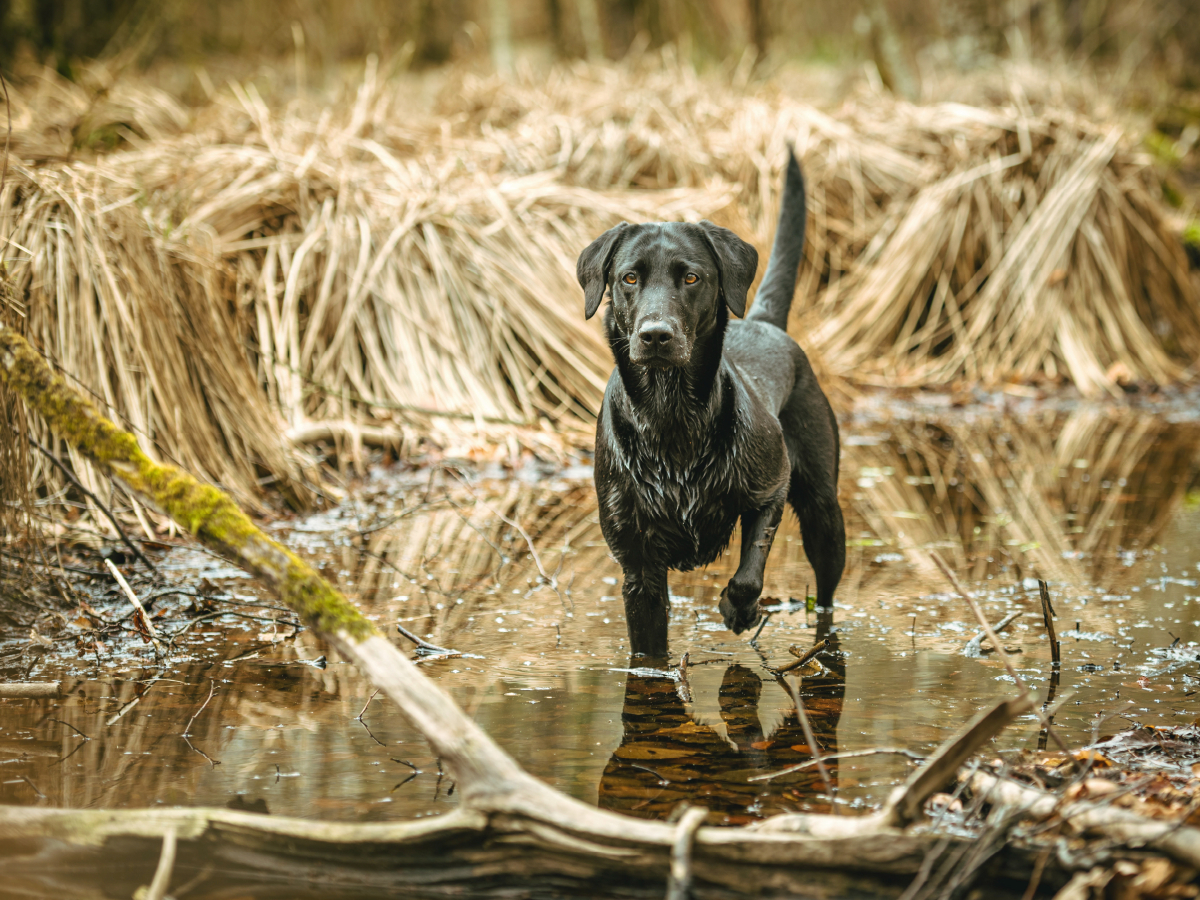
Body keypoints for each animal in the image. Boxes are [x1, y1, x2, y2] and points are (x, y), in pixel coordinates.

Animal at [578, 146, 844, 657]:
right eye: (629, 277)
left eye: (691, 277)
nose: (656, 335)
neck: (670, 419)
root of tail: (763, 321)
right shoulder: (638, 567)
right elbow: (648, 652)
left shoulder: (771, 487)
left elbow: (750, 569)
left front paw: (739, 609)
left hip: (823, 512)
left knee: (825, 594)